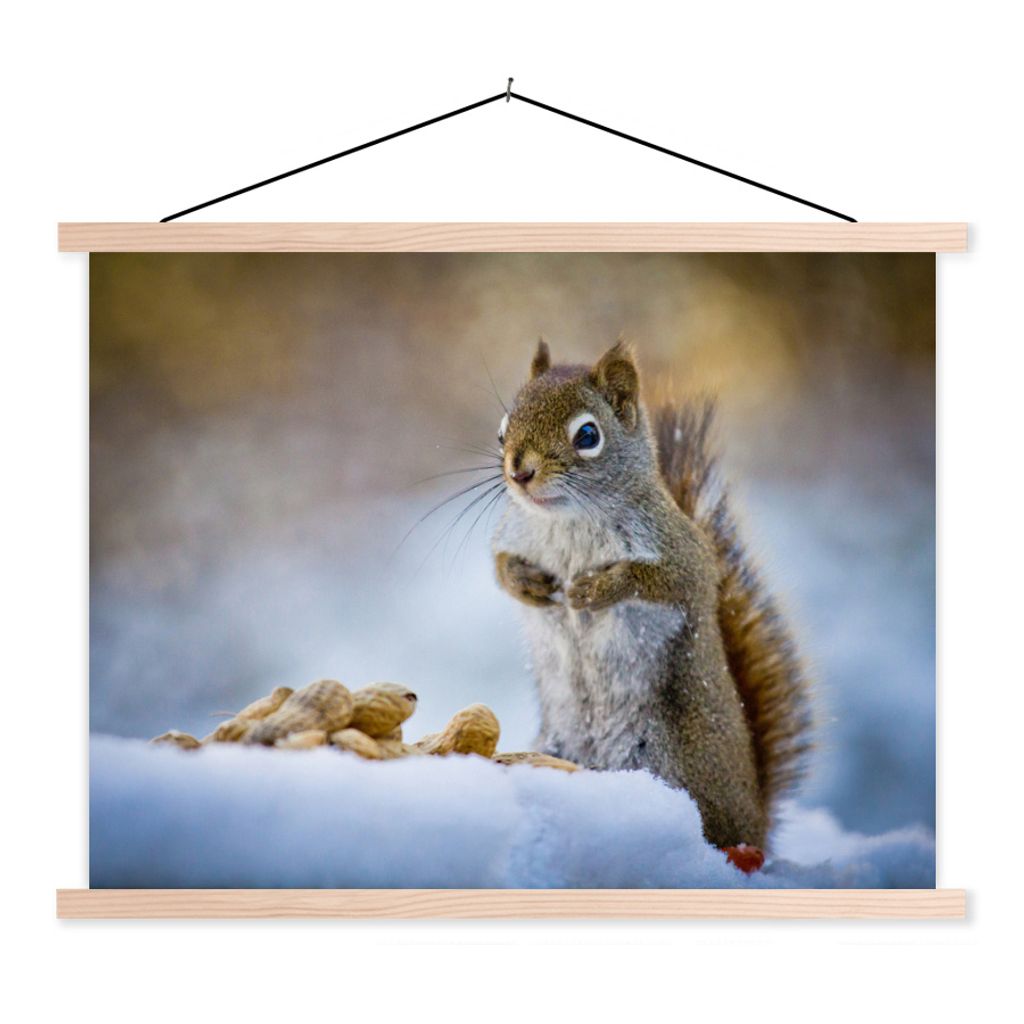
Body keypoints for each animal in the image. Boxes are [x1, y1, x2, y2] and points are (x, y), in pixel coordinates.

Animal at [491, 339, 812, 871]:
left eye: (587, 435)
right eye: (501, 431)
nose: (520, 472)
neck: (569, 520)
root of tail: (757, 820)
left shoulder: (684, 555)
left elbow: (664, 580)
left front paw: (594, 590)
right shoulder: (512, 535)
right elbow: (499, 567)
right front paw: (528, 584)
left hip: (673, 765)